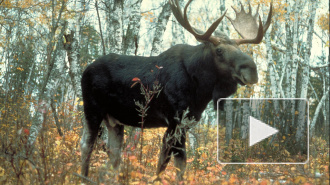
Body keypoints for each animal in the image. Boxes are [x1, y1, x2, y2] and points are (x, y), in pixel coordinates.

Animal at [80, 0, 274, 181]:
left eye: (239, 47)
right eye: (219, 50)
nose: (252, 70)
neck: (201, 89)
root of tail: (85, 70)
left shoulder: (186, 123)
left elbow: (169, 163)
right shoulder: (175, 121)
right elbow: (174, 164)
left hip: (114, 121)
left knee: (114, 156)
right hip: (92, 110)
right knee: (87, 145)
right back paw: (83, 177)